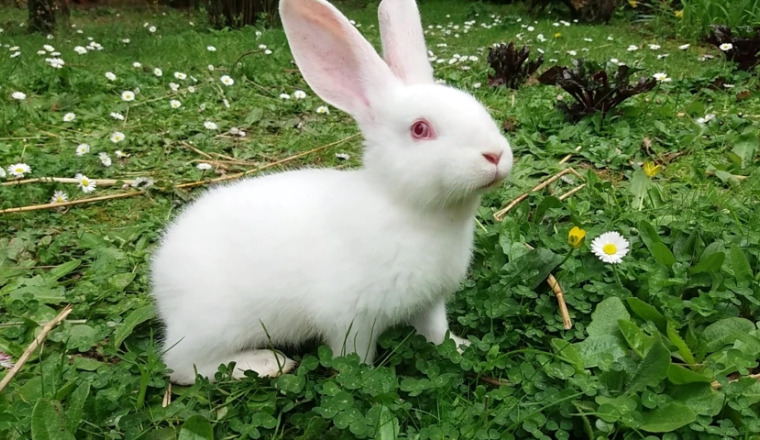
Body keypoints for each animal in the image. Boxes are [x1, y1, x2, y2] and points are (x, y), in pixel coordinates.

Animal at [151, 0, 513, 385]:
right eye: (420, 129)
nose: (495, 155)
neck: (404, 206)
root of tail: (161, 274)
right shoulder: (352, 319)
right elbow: (354, 358)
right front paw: (363, 379)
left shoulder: (430, 304)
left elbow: (436, 331)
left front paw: (461, 347)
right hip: (217, 325)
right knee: (183, 364)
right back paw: (265, 364)